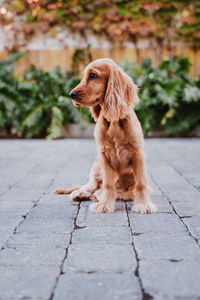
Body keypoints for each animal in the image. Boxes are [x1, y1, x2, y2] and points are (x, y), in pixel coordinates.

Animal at [55, 58, 158, 213]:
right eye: (83, 76)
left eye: (92, 75)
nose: (71, 94)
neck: (113, 121)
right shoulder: (104, 156)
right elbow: (108, 184)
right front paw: (104, 204)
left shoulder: (137, 154)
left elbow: (140, 184)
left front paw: (143, 205)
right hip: (96, 166)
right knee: (91, 185)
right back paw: (81, 193)